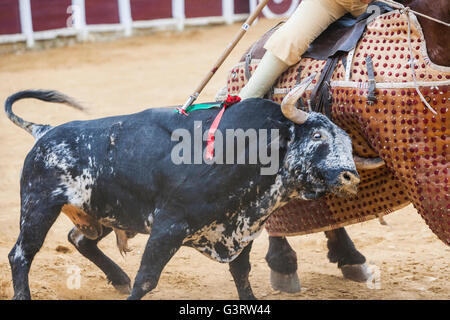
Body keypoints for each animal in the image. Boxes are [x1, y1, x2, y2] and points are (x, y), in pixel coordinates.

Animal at [6, 90, 358, 300]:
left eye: (348, 141)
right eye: (317, 135)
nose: (350, 175)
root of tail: (45, 131)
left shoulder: (242, 229)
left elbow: (241, 274)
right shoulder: (169, 227)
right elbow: (146, 279)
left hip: (100, 212)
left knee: (79, 239)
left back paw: (117, 278)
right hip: (39, 206)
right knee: (21, 254)